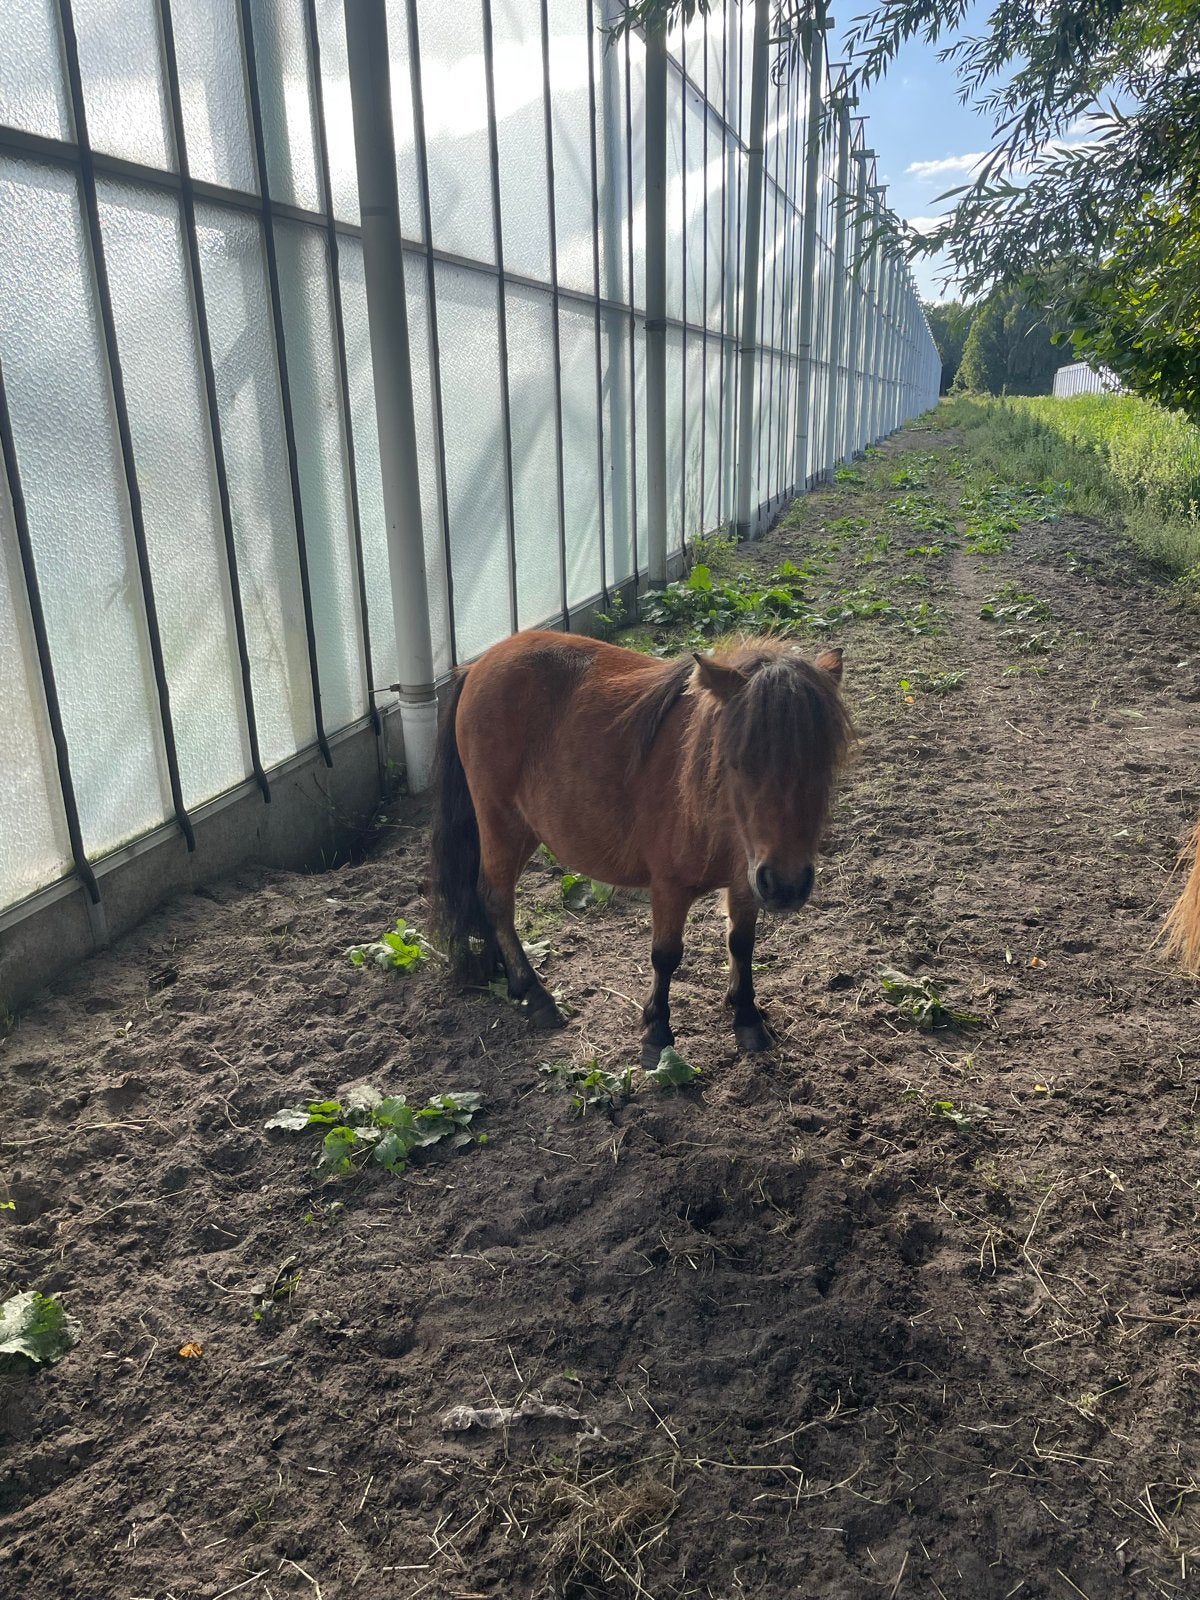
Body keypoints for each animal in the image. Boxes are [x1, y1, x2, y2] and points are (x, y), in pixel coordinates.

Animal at [429, 629, 852, 1063]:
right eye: (737, 761)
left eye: (823, 760)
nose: (786, 886)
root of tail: (478, 665)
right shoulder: (669, 886)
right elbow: (666, 955)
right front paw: (657, 1031)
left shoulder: (745, 882)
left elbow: (741, 943)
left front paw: (747, 1015)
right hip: (501, 823)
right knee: (496, 898)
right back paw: (535, 993)